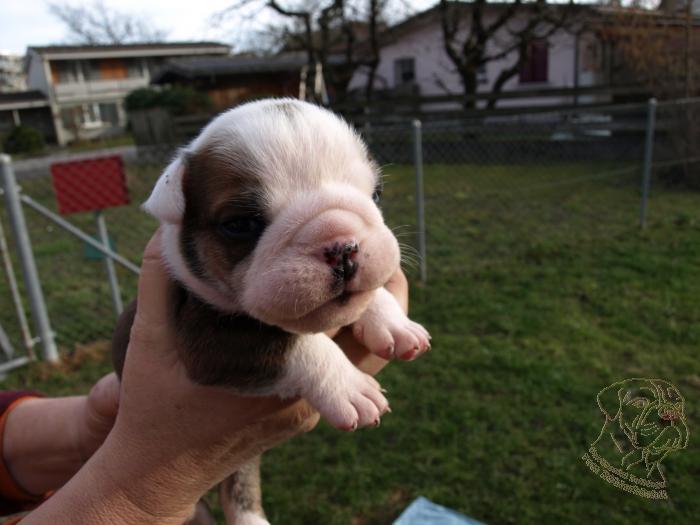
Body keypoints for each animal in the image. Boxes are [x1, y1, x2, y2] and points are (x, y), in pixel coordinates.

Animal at [112, 98, 431, 524]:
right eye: (241, 224)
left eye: (376, 195)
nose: (343, 246)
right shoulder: (208, 340)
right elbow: (291, 344)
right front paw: (349, 386)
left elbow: (367, 297)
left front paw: (394, 322)